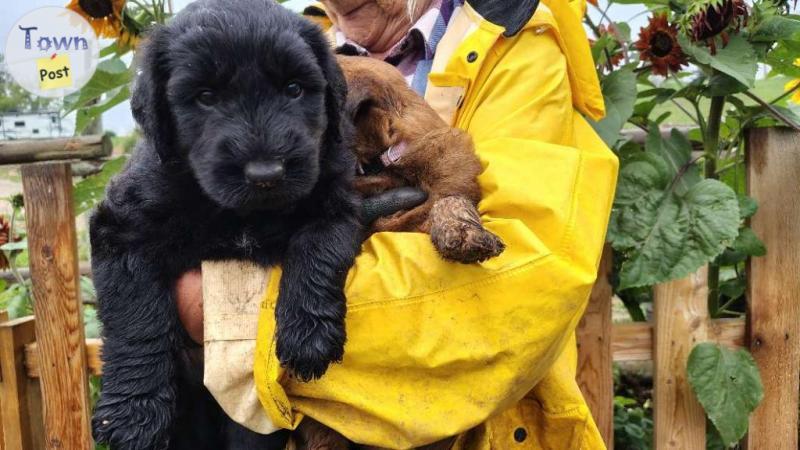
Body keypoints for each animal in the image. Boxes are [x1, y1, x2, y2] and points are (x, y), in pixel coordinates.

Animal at [89, 1, 360, 448]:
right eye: (205, 97)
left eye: (294, 89)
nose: (266, 174)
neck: (238, 213)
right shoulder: (120, 228)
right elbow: (137, 318)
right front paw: (133, 411)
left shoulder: (336, 201)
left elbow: (318, 246)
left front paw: (309, 333)